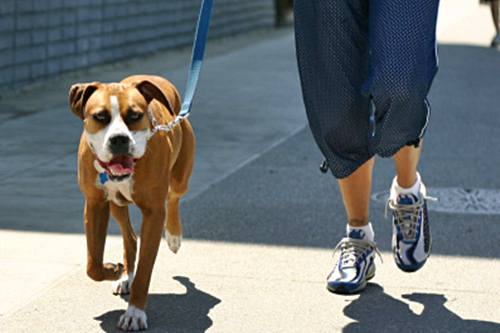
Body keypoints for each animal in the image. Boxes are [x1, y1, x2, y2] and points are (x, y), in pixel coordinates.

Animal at [68, 74, 195, 330]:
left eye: (135, 116)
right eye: (100, 117)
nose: (119, 139)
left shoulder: (154, 213)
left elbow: (145, 270)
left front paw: (135, 313)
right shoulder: (95, 204)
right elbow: (92, 264)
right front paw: (113, 270)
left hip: (180, 178)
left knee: (174, 197)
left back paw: (174, 236)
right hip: (116, 205)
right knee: (130, 237)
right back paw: (126, 275)